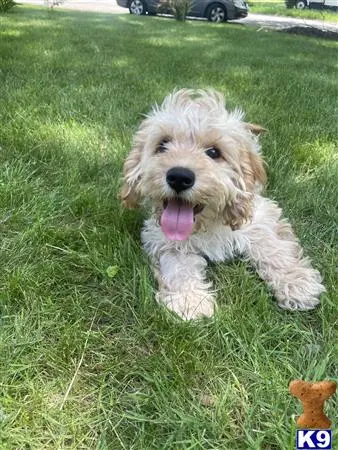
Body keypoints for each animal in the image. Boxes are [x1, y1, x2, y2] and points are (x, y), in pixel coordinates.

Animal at [120, 89, 324, 320]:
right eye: (162, 145)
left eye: (214, 152)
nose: (179, 177)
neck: (208, 223)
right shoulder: (163, 239)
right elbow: (179, 267)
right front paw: (190, 300)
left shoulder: (260, 216)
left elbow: (274, 248)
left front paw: (297, 283)